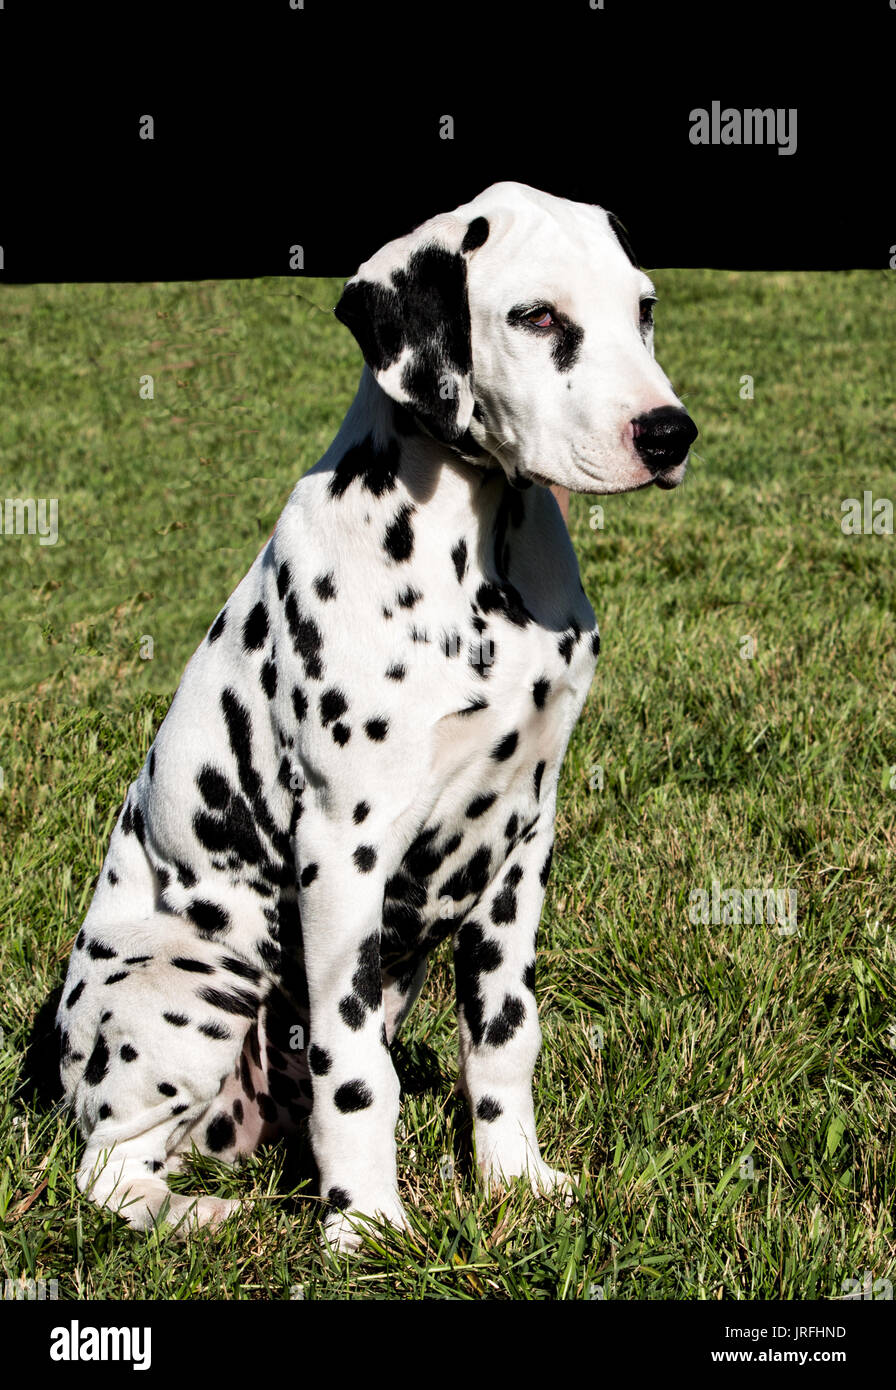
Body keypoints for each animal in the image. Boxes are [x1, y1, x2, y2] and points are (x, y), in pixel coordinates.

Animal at [55, 182, 694, 1251]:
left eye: (641, 309)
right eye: (537, 317)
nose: (669, 434)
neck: (481, 554)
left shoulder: (522, 839)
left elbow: (504, 1038)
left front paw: (515, 1182)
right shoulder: (343, 848)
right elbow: (355, 1075)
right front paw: (367, 1231)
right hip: (183, 988)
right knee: (108, 1171)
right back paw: (203, 1216)